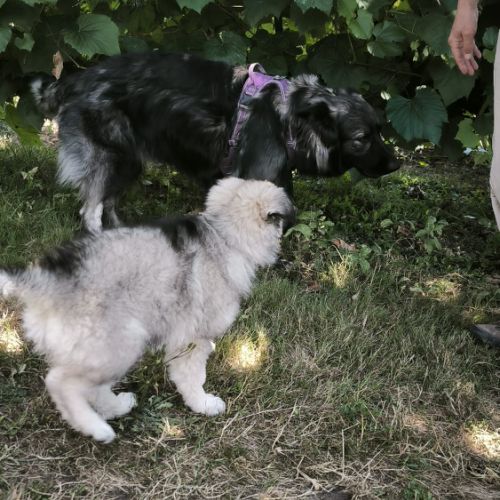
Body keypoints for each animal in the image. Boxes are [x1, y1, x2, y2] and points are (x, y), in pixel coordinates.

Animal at [0, 178, 295, 443]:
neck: (223, 235)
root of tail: (44, 281)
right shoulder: (190, 339)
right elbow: (192, 376)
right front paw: (203, 403)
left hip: (105, 345)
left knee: (92, 388)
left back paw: (116, 407)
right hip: (120, 342)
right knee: (61, 382)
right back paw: (96, 428)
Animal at [31, 51, 399, 232]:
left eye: (380, 130)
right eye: (361, 139)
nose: (396, 164)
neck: (290, 117)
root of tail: (79, 78)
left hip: (129, 162)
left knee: (107, 203)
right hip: (114, 158)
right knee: (90, 210)